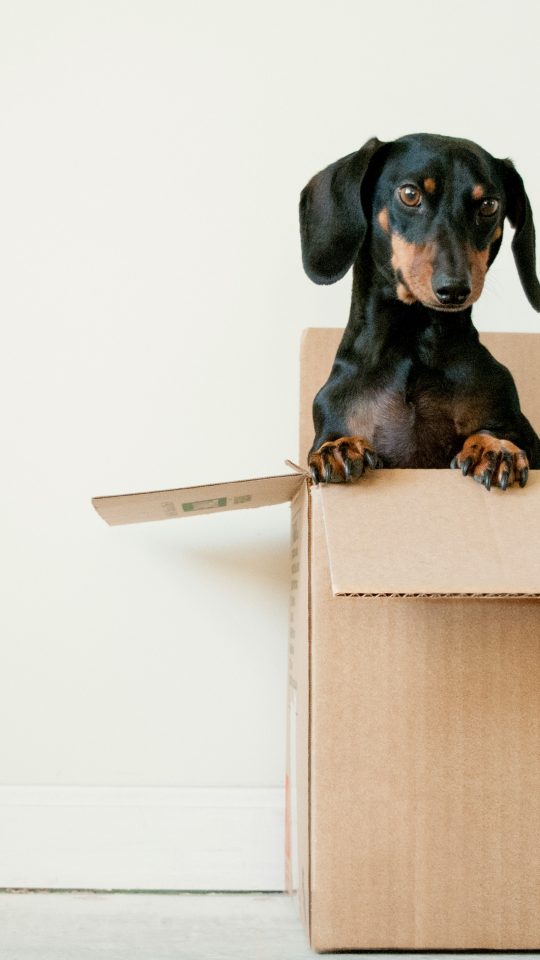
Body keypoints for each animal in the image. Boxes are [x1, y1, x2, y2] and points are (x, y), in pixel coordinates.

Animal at [302, 134, 540, 492]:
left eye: (489, 205)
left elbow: (498, 433)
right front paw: (340, 447)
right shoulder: (332, 414)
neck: (414, 343)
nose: (454, 289)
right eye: (410, 194)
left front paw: (495, 448)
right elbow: (332, 439)